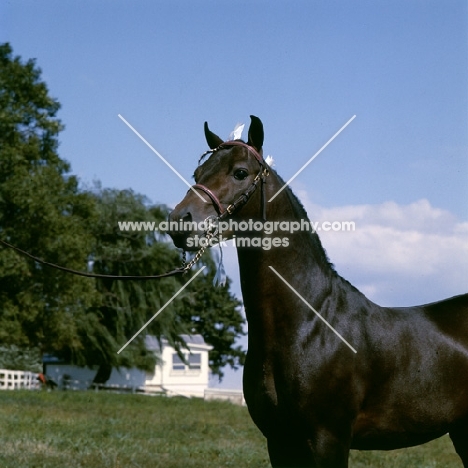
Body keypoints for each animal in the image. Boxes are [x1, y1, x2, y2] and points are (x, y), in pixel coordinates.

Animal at [168, 115, 468, 466]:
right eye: (197, 173)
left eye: (239, 172)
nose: (180, 221)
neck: (310, 325)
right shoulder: (279, 442)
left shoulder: (328, 440)